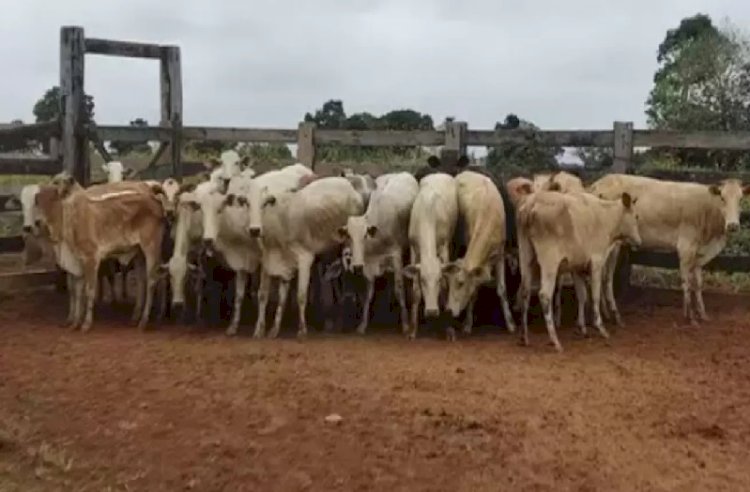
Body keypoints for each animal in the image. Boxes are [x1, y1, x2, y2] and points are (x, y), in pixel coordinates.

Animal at [402, 172, 462, 338]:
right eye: (422, 280)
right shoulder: (414, 248)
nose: (431, 311)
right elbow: (415, 291)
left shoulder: (444, 247)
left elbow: (446, 286)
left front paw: (449, 329)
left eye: (439, 279)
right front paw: (412, 330)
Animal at [444, 171, 520, 336]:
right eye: (450, 283)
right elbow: (474, 292)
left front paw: (511, 324)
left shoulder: (499, 256)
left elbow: (502, 290)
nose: (449, 310)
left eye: (460, 283)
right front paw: (467, 324)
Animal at [592, 175, 748, 324]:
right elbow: (686, 282)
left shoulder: (699, 255)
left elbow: (698, 284)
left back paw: (605, 313)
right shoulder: (686, 247)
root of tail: (597, 184)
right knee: (607, 277)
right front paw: (690, 317)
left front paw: (703, 314)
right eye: (722, 198)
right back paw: (614, 315)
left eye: (740, 199)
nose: (733, 225)